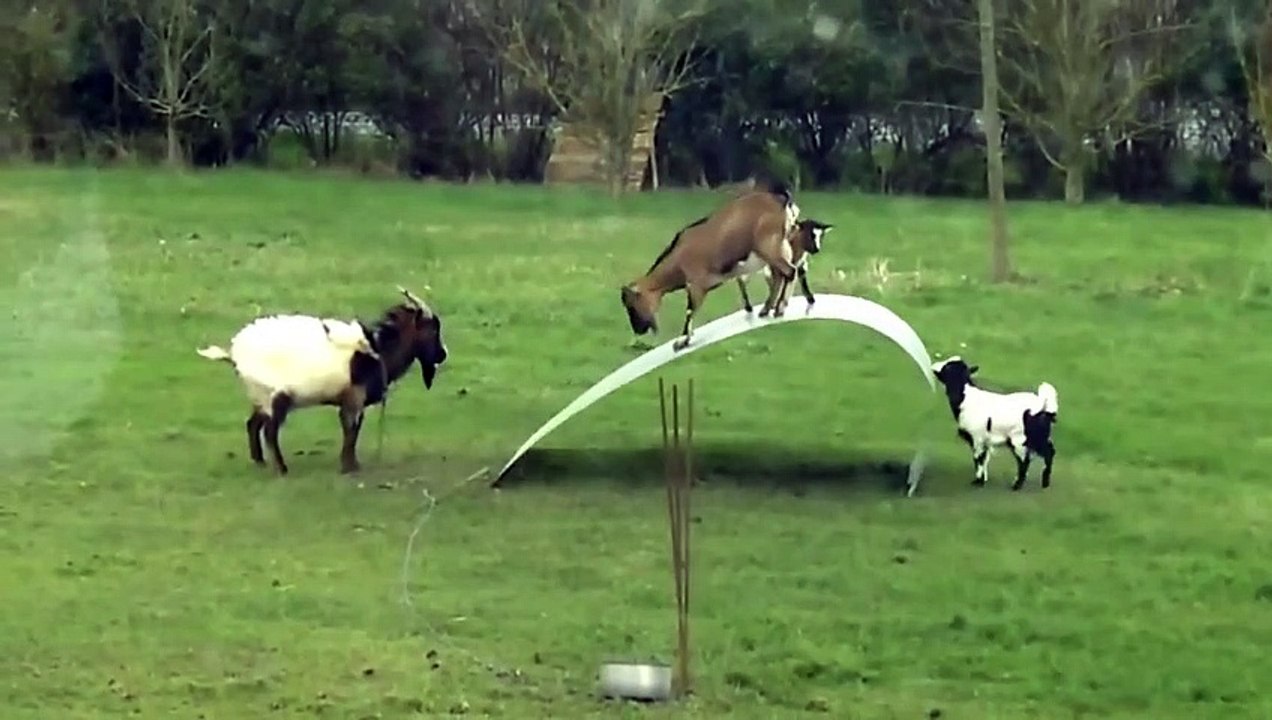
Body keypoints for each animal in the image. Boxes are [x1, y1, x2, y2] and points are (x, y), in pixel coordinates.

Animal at [197, 286, 448, 475]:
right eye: (432, 329)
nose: (442, 355)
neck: (379, 351)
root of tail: (234, 353)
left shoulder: (351, 400)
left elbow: (353, 430)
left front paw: (352, 464)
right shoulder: (353, 398)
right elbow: (350, 430)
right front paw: (349, 467)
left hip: (260, 396)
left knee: (252, 424)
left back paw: (260, 461)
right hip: (276, 396)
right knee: (269, 431)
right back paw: (282, 469)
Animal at [620, 182, 801, 351]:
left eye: (632, 305)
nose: (638, 329)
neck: (678, 260)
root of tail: (782, 200)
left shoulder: (697, 284)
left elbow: (690, 310)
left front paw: (682, 341)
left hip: (770, 246)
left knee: (789, 271)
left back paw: (778, 309)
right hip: (779, 248)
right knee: (781, 275)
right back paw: (766, 309)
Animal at [931, 356, 1059, 491]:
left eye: (948, 367)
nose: (933, 367)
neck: (966, 397)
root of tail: (1045, 407)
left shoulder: (977, 438)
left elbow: (978, 459)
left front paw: (978, 481)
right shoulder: (985, 440)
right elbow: (984, 459)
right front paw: (983, 480)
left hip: (1021, 439)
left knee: (1025, 461)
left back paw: (1017, 485)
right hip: (1040, 437)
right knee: (1049, 452)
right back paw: (1045, 483)